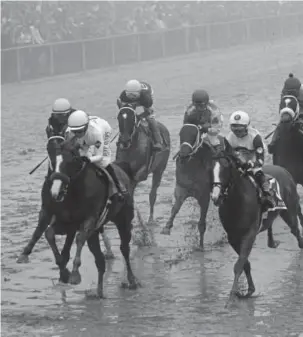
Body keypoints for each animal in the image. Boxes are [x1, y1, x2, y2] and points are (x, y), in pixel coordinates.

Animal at [16, 135, 114, 264]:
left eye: (71, 162)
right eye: (52, 161)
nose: (56, 192)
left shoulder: (81, 217)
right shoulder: (48, 209)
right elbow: (40, 230)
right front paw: (24, 253)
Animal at [211, 149, 303, 304]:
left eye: (225, 169)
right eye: (210, 170)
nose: (215, 196)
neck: (238, 202)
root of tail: (284, 170)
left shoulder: (249, 234)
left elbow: (239, 265)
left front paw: (232, 296)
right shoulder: (233, 237)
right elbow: (244, 263)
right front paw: (249, 290)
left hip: (289, 212)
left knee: (296, 231)